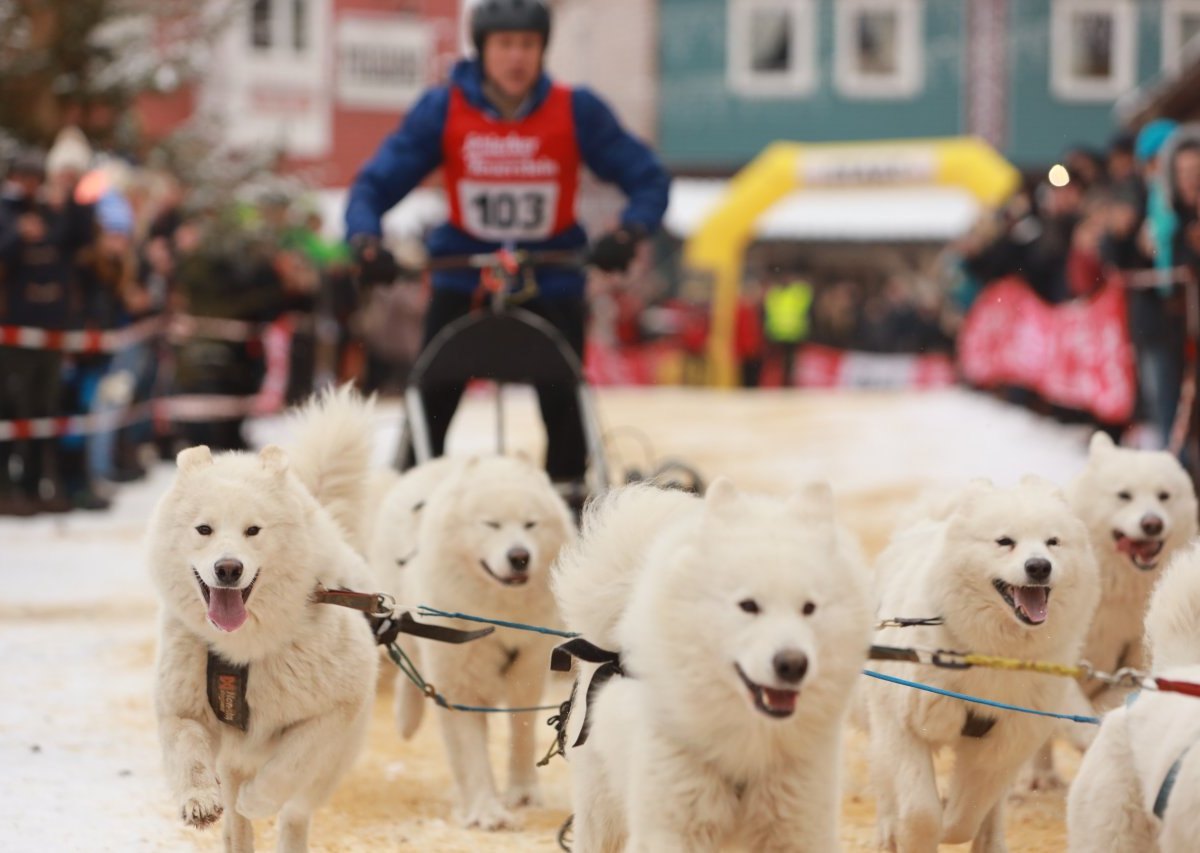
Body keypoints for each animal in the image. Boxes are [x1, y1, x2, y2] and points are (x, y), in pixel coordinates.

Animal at [147, 388, 379, 853]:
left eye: (253, 530)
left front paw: (259, 798)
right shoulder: (180, 707)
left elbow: (291, 762)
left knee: (296, 811)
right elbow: (187, 753)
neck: (242, 650)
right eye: (204, 529)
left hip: (332, 765)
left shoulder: (336, 708)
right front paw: (199, 801)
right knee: (236, 821)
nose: (228, 569)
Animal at [391, 458, 573, 830]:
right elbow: (472, 756)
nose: (519, 556)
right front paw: (486, 810)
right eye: (491, 525)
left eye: (530, 524)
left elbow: (522, 736)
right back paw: (406, 718)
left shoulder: (528, 673)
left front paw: (522, 794)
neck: (496, 618)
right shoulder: (458, 687)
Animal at [552, 479, 873, 853]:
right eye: (748, 605)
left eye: (809, 608)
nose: (792, 664)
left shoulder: (797, 826)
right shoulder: (672, 827)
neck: (748, 746)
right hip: (601, 812)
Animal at [868, 477, 1099, 849]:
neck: (991, 651)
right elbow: (920, 813)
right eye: (1005, 541)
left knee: (992, 809)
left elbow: (967, 815)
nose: (1039, 566)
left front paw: (952, 820)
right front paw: (916, 830)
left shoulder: (1005, 741)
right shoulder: (905, 725)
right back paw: (888, 830)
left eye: (1053, 542)